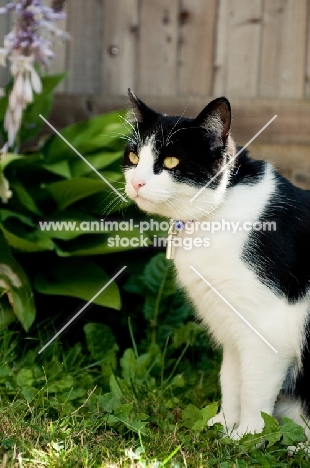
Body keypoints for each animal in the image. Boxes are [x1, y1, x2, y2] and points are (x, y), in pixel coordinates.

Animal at [122, 88, 308, 442]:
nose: (136, 183)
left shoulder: (268, 331)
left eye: (170, 162)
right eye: (134, 158)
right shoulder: (230, 322)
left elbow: (254, 391)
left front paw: (248, 437)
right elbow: (231, 380)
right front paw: (224, 426)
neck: (219, 210)